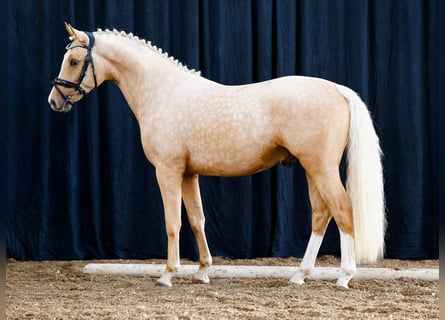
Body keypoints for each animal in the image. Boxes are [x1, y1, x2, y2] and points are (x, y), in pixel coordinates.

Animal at [46, 22, 384, 288]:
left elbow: (173, 222)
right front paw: (203, 271)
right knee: (320, 215)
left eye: (74, 60)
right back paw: (300, 274)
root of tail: (337, 89)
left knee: (342, 209)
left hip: (320, 167)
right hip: (311, 168)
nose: (54, 101)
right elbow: (197, 220)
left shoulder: (167, 170)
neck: (164, 93)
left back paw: (344, 276)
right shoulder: (188, 173)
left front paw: (167, 274)